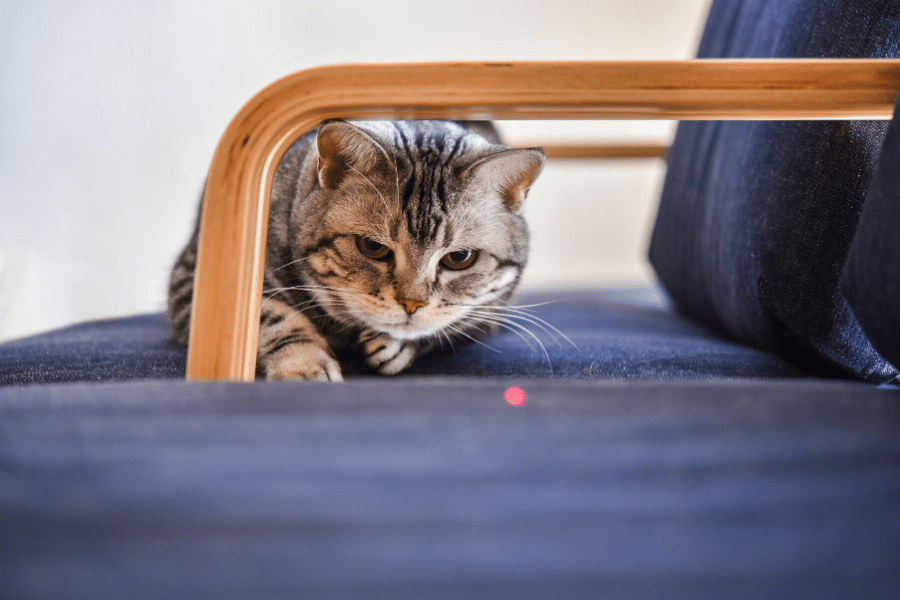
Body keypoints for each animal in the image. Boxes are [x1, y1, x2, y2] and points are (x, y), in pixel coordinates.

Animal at [171, 120, 548, 380]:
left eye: (459, 258)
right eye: (372, 247)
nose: (412, 304)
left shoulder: (491, 313)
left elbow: (446, 327)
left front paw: (396, 343)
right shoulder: (194, 280)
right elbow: (273, 315)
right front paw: (304, 365)